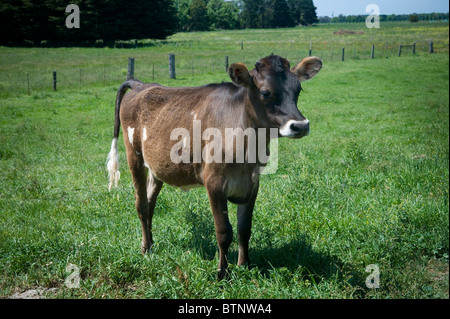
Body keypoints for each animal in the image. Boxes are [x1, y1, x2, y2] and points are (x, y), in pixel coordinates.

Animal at [107, 55, 322, 280]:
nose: (300, 126)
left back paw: (150, 243)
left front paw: (244, 265)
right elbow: (224, 231)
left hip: (156, 166)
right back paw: (146, 249)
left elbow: (244, 229)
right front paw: (222, 272)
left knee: (150, 203)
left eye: (298, 89)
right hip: (134, 156)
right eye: (265, 92)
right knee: (141, 205)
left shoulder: (253, 183)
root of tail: (141, 84)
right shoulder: (214, 182)